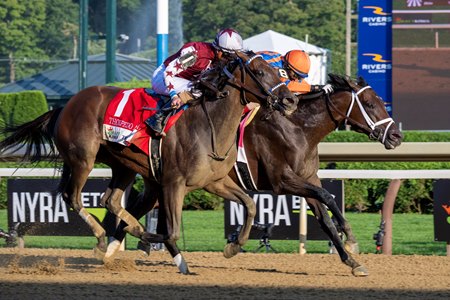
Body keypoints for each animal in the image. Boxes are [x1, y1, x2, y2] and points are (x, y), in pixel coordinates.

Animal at [0, 51, 298, 274]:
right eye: (260, 72)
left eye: (279, 72)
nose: (290, 99)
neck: (208, 125)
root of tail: (65, 105)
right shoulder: (173, 183)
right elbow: (171, 232)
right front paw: (149, 239)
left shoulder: (213, 182)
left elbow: (250, 204)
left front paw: (233, 245)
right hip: (83, 158)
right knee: (72, 197)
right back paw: (105, 237)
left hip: (122, 165)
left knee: (110, 200)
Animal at [108, 72, 400, 276]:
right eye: (370, 103)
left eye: (381, 102)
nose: (397, 136)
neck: (299, 129)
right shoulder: (284, 181)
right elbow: (327, 196)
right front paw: (351, 240)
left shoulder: (307, 179)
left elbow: (325, 217)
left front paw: (352, 261)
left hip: (158, 182)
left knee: (138, 210)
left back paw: (115, 248)